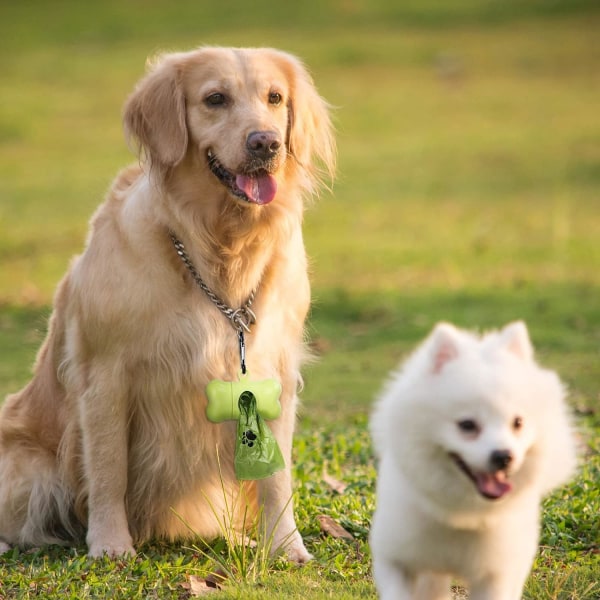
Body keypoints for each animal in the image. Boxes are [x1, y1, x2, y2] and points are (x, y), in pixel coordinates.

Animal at [370, 324, 576, 600]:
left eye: (518, 423)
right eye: (467, 425)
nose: (504, 456)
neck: (463, 514)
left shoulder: (495, 575)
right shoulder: (395, 557)